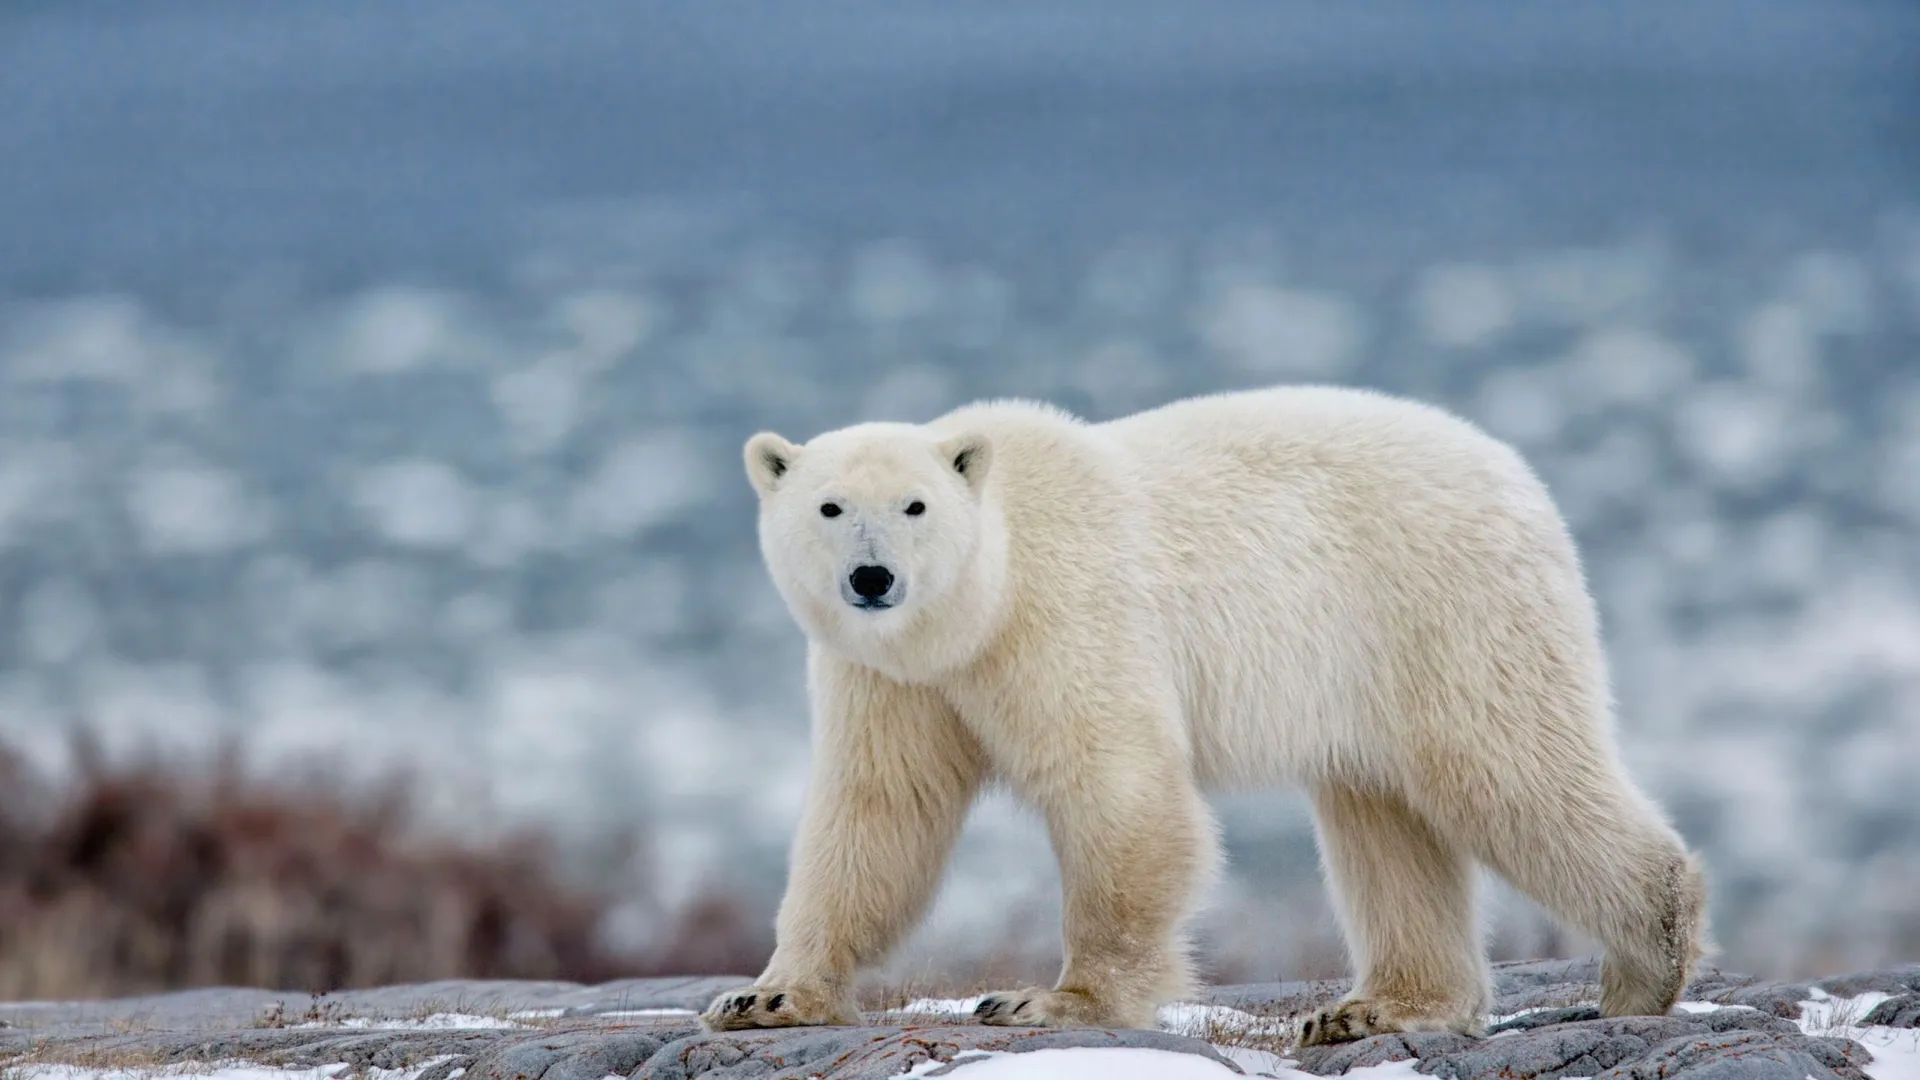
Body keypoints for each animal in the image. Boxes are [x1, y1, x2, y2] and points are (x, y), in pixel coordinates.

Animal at [706, 382, 1712, 1037]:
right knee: (1385, 820)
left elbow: (1118, 790)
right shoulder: (891, 678)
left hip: (1445, 611)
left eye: (915, 506)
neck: (982, 602)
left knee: (1507, 772)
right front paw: (765, 997)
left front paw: (1049, 1000)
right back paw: (1373, 1009)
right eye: (830, 507)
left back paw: (1646, 964)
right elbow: (879, 813)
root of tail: (1519, 475)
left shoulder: (1067, 616)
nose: (873, 578)